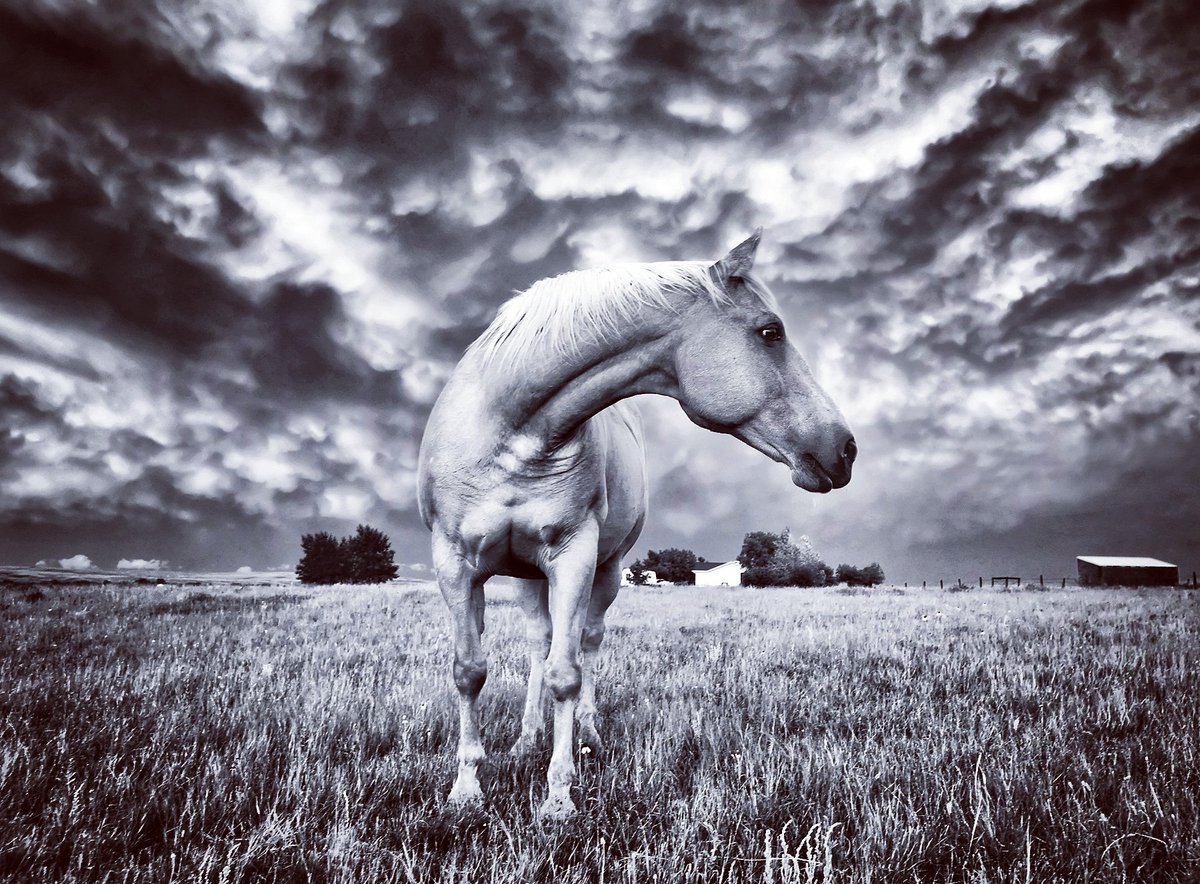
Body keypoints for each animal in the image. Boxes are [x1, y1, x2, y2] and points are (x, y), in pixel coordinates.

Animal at [417, 230, 855, 818]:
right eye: (771, 331)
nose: (846, 449)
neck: (511, 429)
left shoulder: (574, 556)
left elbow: (566, 673)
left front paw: (558, 797)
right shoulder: (455, 562)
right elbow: (470, 670)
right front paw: (466, 789)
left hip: (603, 570)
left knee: (586, 643)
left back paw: (586, 733)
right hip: (526, 577)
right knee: (537, 643)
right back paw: (527, 739)